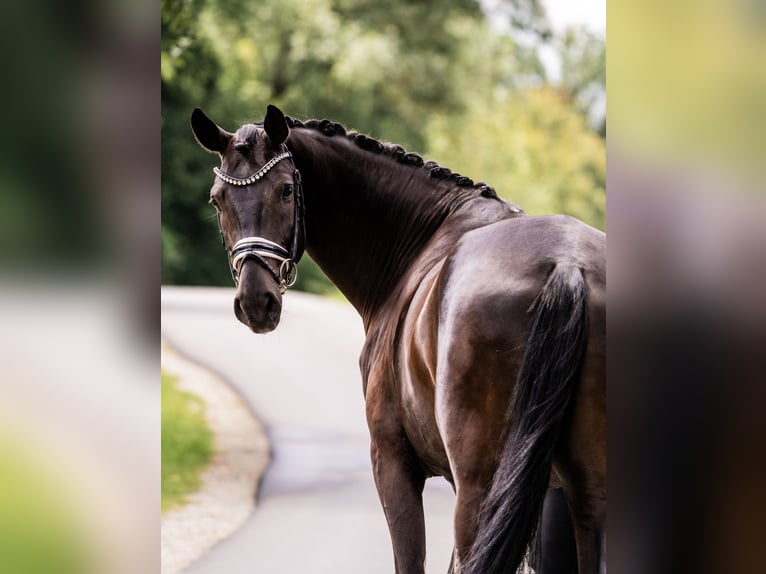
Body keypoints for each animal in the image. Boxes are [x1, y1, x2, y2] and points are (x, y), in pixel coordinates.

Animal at [190, 104, 606, 573]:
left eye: (284, 191)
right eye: (217, 199)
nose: (255, 302)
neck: (423, 238)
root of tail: (566, 264)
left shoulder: (391, 462)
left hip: (481, 487)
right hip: (589, 491)